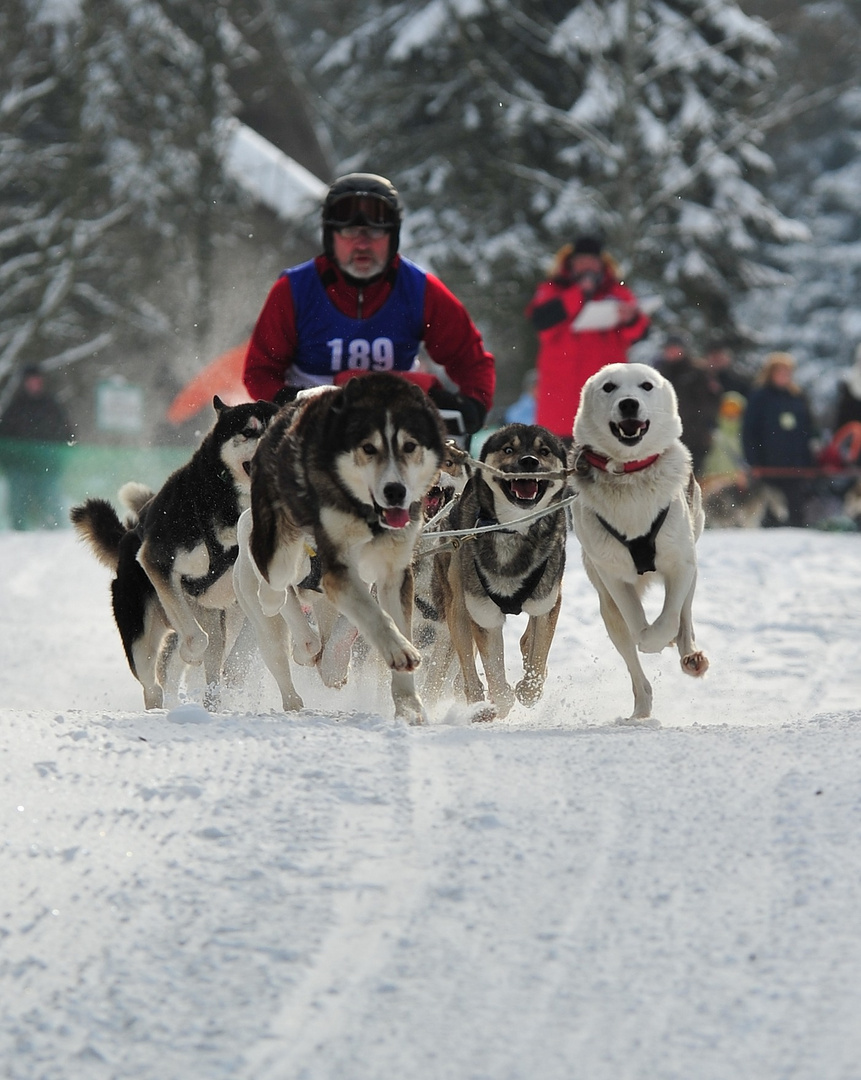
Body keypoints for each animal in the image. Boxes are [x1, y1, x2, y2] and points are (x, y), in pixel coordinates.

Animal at [232, 373, 447, 725]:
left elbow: (353, 627)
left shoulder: (370, 577)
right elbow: (292, 613)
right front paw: (305, 647)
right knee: (278, 648)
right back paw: (293, 694)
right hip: (264, 625)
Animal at [419, 421, 566, 717]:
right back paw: (478, 704)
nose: (529, 462)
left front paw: (528, 688)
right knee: (465, 666)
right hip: (457, 606)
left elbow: (538, 656)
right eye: (508, 449)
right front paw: (497, 702)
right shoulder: (484, 615)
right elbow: (496, 678)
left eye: (544, 451)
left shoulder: (547, 604)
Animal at [570, 358, 704, 721]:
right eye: (609, 387)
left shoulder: (681, 563)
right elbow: (637, 626)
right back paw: (641, 710)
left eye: (645, 386)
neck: (630, 474)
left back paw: (689, 653)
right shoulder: (612, 575)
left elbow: (671, 617)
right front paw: (650, 639)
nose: (628, 403)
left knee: (685, 615)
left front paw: (663, 638)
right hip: (607, 607)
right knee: (633, 662)